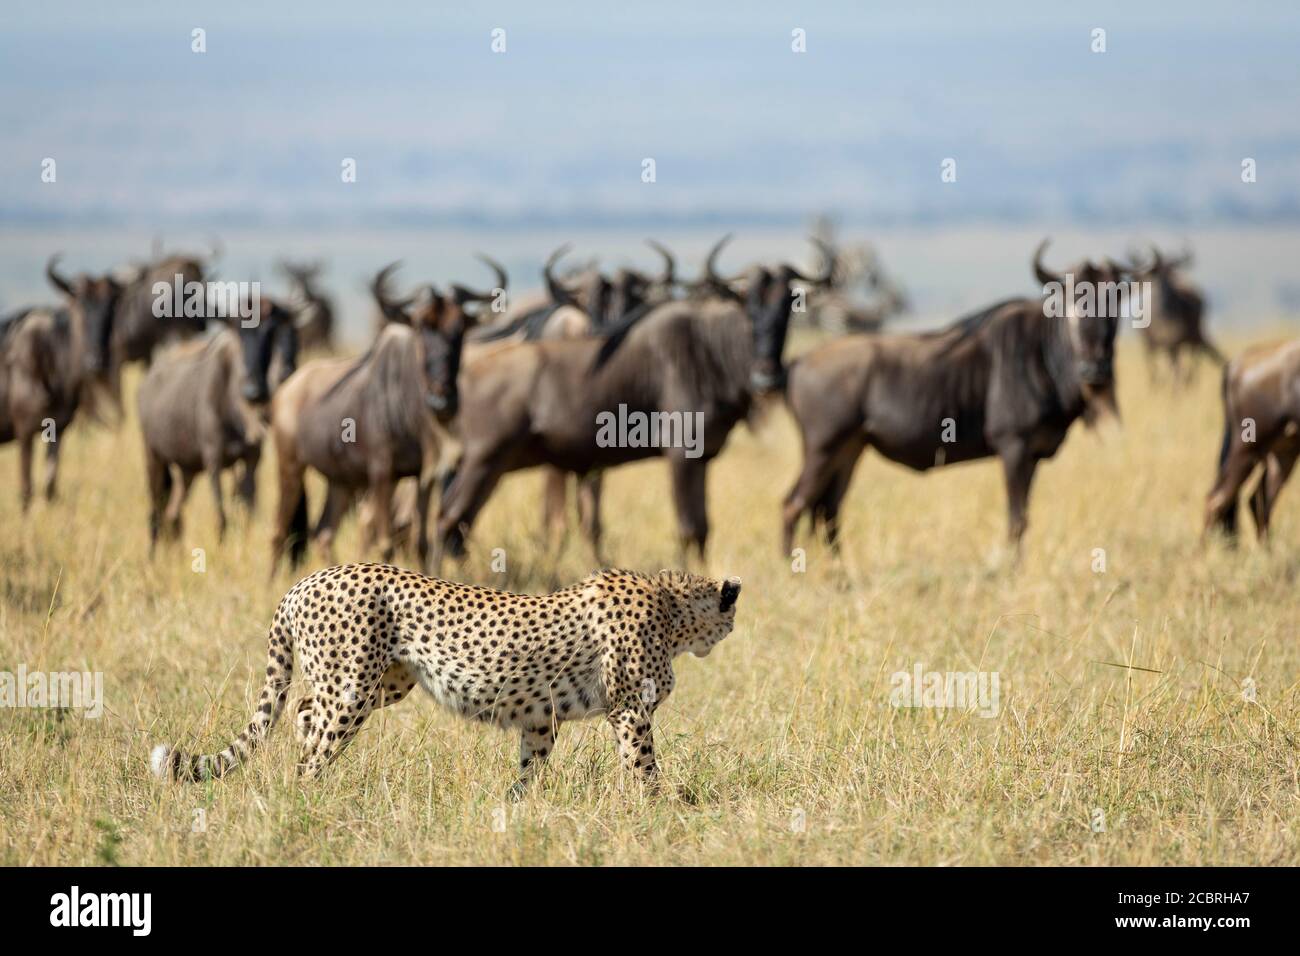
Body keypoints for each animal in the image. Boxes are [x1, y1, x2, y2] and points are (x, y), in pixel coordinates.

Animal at [150, 561, 743, 790]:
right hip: (352, 687)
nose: (733, 631)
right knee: (316, 734)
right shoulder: (629, 710)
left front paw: (515, 809)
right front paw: (658, 810)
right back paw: (306, 791)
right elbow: (643, 766)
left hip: (388, 682)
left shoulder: (540, 718)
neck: (673, 608)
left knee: (301, 711)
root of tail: (308, 579)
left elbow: (530, 768)